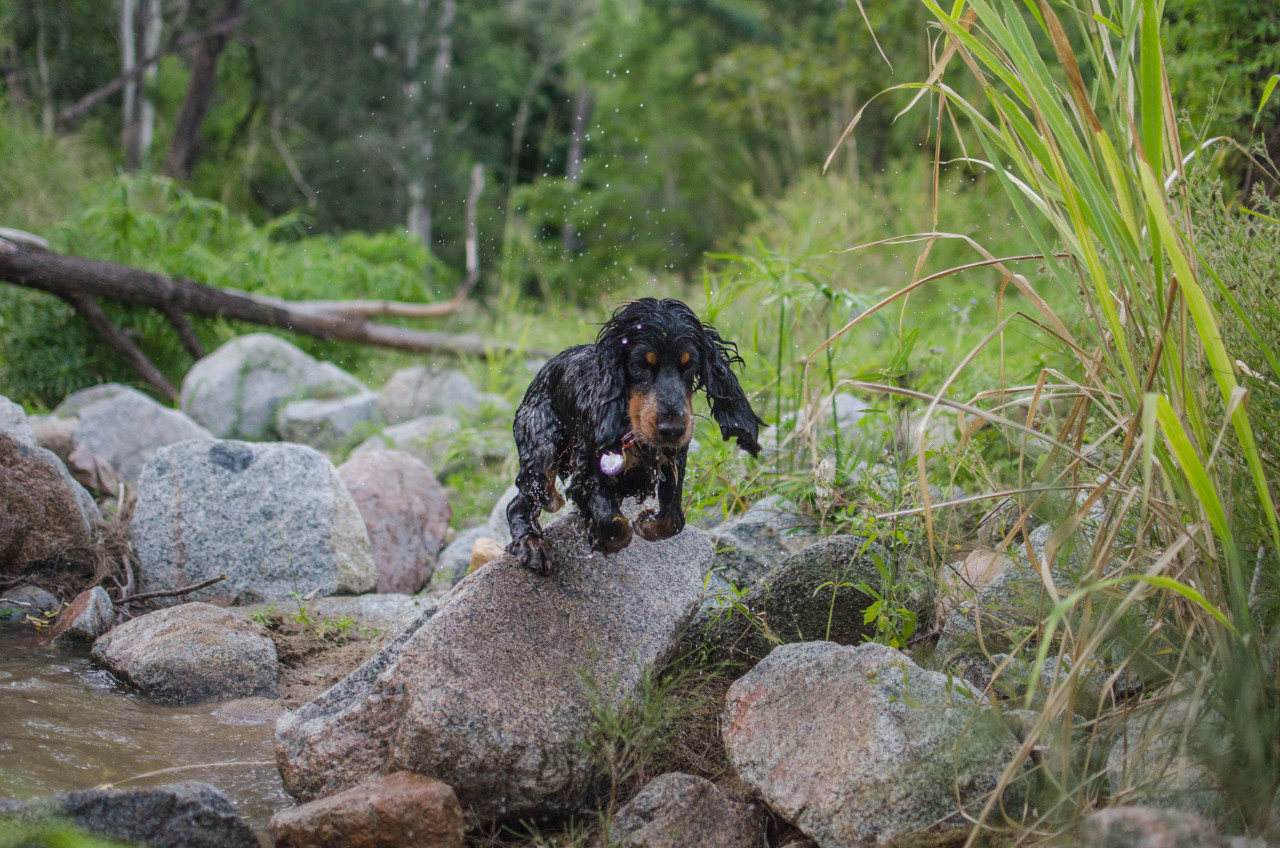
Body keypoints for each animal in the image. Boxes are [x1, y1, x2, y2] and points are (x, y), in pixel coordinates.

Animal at [501, 297, 757, 571]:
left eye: (689, 365)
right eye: (641, 364)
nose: (672, 430)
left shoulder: (673, 459)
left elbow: (673, 519)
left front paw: (647, 522)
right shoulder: (588, 467)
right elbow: (612, 523)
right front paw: (603, 537)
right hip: (542, 446)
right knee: (522, 501)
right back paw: (531, 544)